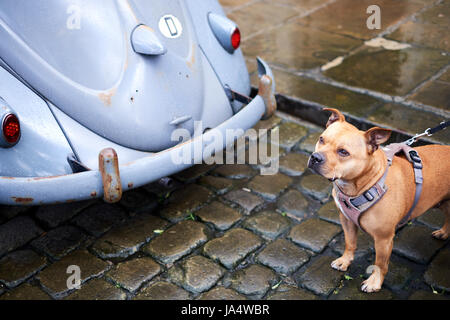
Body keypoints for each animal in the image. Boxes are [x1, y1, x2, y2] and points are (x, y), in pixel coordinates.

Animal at [308, 109, 450, 292]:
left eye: (343, 152)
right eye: (321, 139)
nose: (315, 157)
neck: (362, 184)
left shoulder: (384, 239)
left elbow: (380, 263)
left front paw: (374, 283)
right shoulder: (347, 222)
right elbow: (350, 243)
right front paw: (345, 261)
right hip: (444, 202)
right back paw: (444, 232)